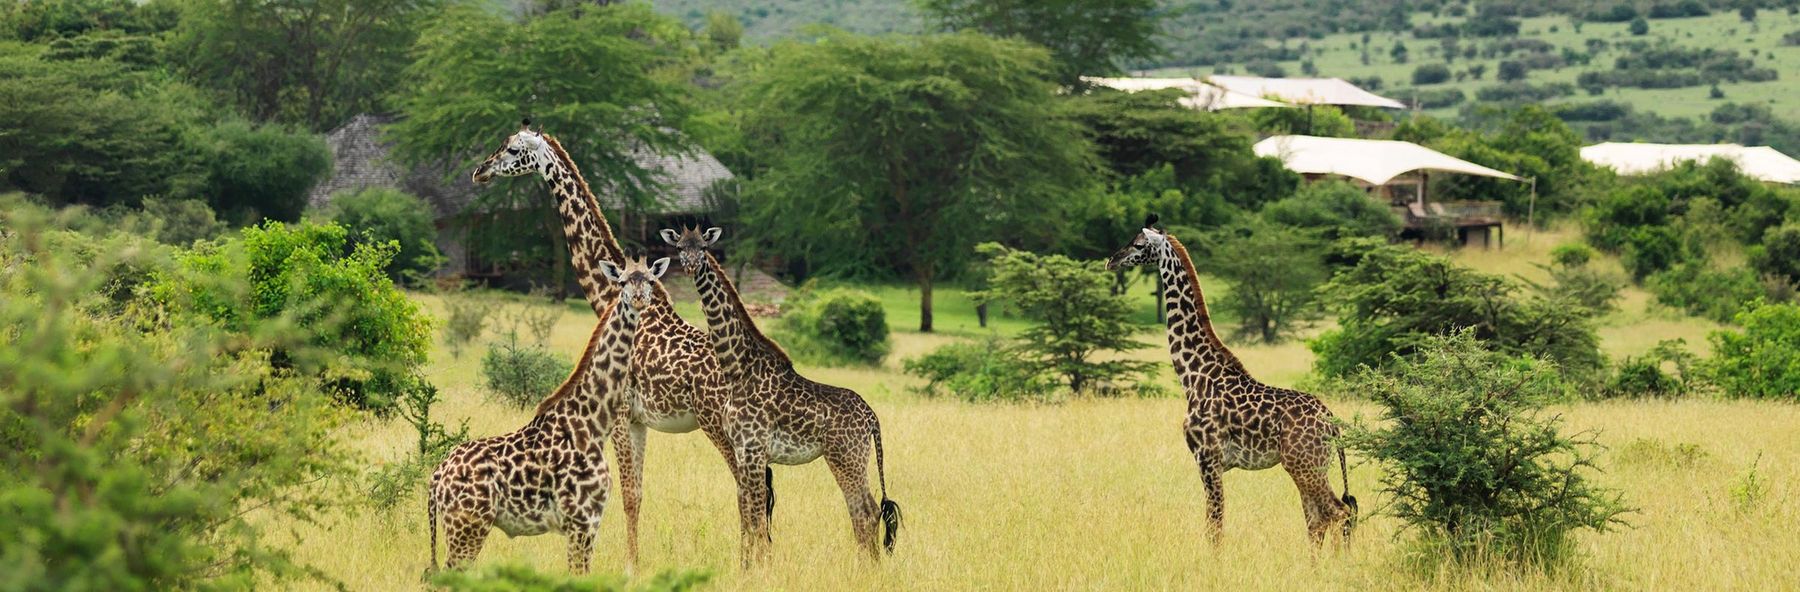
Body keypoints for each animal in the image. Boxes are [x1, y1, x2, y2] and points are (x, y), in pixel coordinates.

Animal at [427, 256, 672, 573]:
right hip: (468, 527)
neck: (593, 423)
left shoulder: (590, 523)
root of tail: (436, 478)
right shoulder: (580, 520)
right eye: (622, 282)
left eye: (651, 280)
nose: (639, 299)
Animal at [469, 121, 768, 570]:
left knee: (748, 489)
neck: (607, 294)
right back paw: (758, 557)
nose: (480, 171)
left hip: (718, 424)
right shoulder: (640, 420)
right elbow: (638, 493)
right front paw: (635, 561)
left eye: (514, 150)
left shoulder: (623, 416)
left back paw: (750, 563)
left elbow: (627, 494)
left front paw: (630, 565)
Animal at [661, 226, 901, 565]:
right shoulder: (742, 450)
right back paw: (868, 567)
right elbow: (748, 509)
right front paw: (747, 565)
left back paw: (868, 568)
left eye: (705, 248)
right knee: (864, 511)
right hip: (850, 458)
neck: (737, 369)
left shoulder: (753, 448)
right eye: (680, 247)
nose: (691, 266)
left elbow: (757, 512)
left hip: (847, 457)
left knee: (866, 511)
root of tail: (871, 417)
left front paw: (761, 565)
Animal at [1106, 214, 1356, 546]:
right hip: (1310, 466)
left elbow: (1214, 528)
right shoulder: (1213, 463)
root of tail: (1332, 421)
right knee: (1318, 520)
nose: (1111, 260)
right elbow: (1215, 525)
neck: (1194, 375)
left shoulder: (1207, 458)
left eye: (1137, 244)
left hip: (1304, 465)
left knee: (1338, 512)